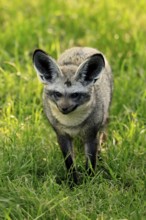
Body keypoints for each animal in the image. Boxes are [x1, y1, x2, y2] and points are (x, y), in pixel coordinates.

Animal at [32, 46, 113, 184]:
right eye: (57, 94)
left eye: (75, 95)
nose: (63, 109)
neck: (72, 124)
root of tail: (82, 47)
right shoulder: (62, 135)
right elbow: (69, 163)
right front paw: (73, 183)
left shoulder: (91, 135)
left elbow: (91, 162)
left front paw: (89, 181)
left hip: (104, 120)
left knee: (102, 136)